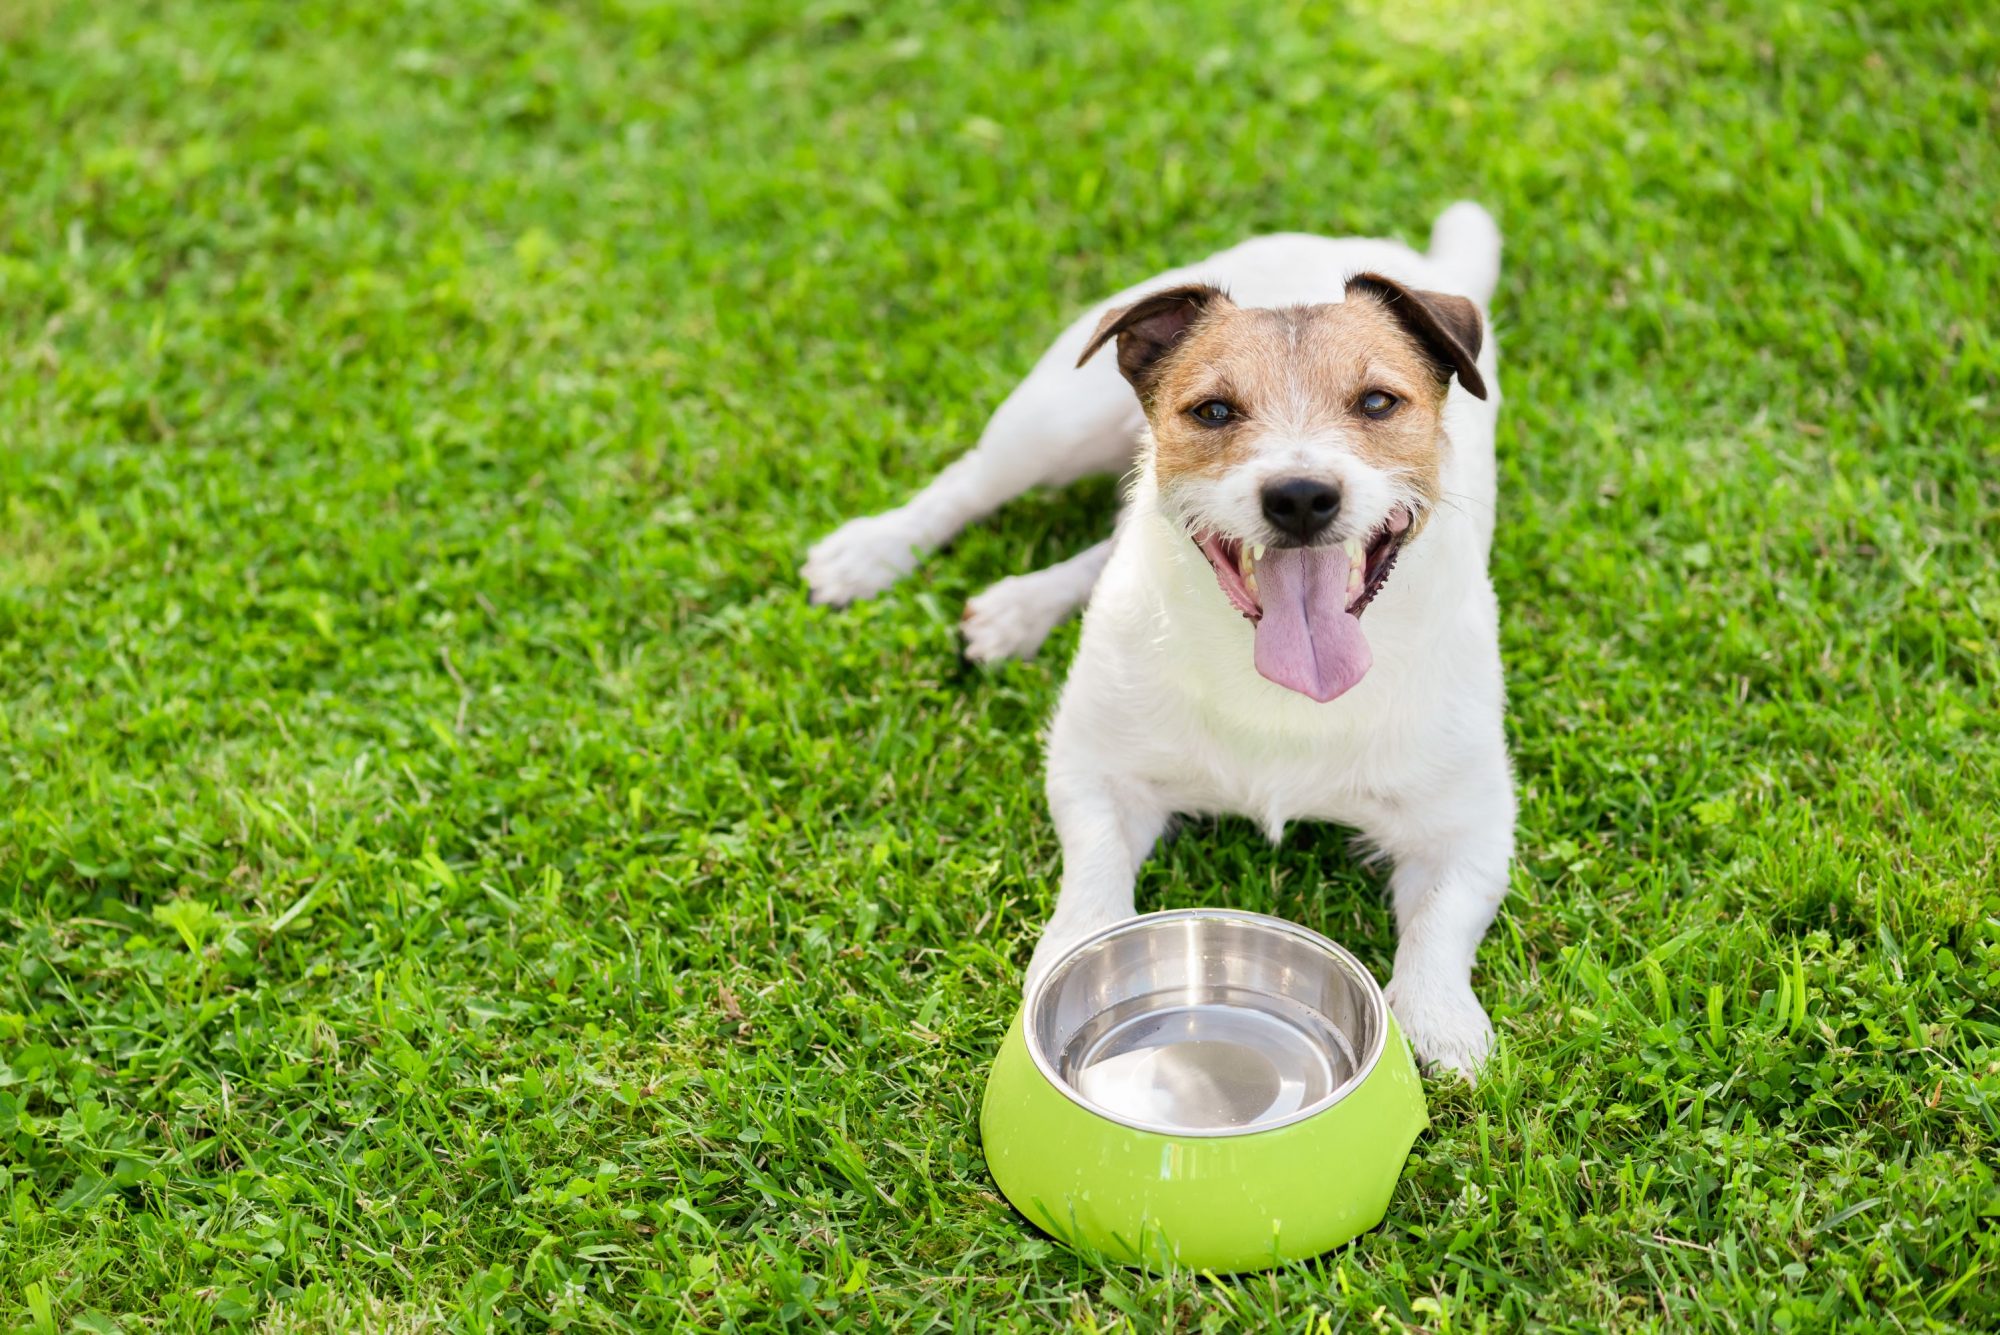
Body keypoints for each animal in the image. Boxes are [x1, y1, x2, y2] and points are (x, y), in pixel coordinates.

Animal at [804, 200, 1504, 1071]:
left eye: (1378, 403)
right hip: (1054, 421)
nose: (1300, 497)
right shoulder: (1097, 770)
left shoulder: (1468, 826)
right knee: (972, 482)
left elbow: (1441, 925)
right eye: (1214, 411)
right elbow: (1095, 881)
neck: (1274, 683)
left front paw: (1441, 1021)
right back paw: (874, 552)